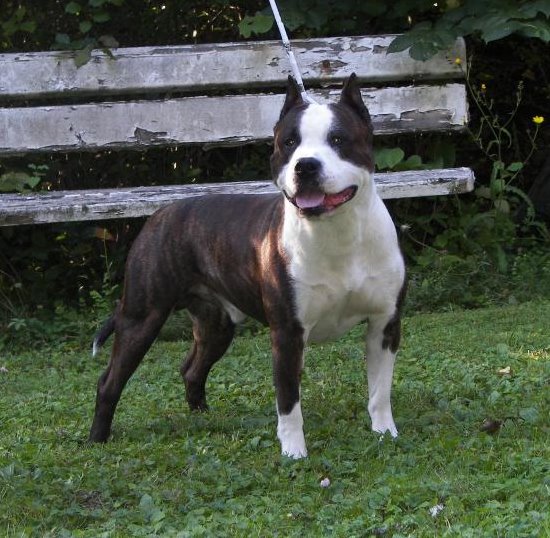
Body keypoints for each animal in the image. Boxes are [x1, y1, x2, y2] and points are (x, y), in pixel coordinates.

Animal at [89, 74, 406, 459]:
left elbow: (380, 391)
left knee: (191, 369)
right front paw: (294, 453)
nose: (305, 165)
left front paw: (385, 433)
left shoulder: (384, 325)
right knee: (110, 380)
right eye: (289, 143)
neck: (337, 233)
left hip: (216, 325)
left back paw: (202, 416)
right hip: (141, 317)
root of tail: (161, 213)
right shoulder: (287, 333)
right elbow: (288, 402)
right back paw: (96, 440)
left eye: (338, 139)